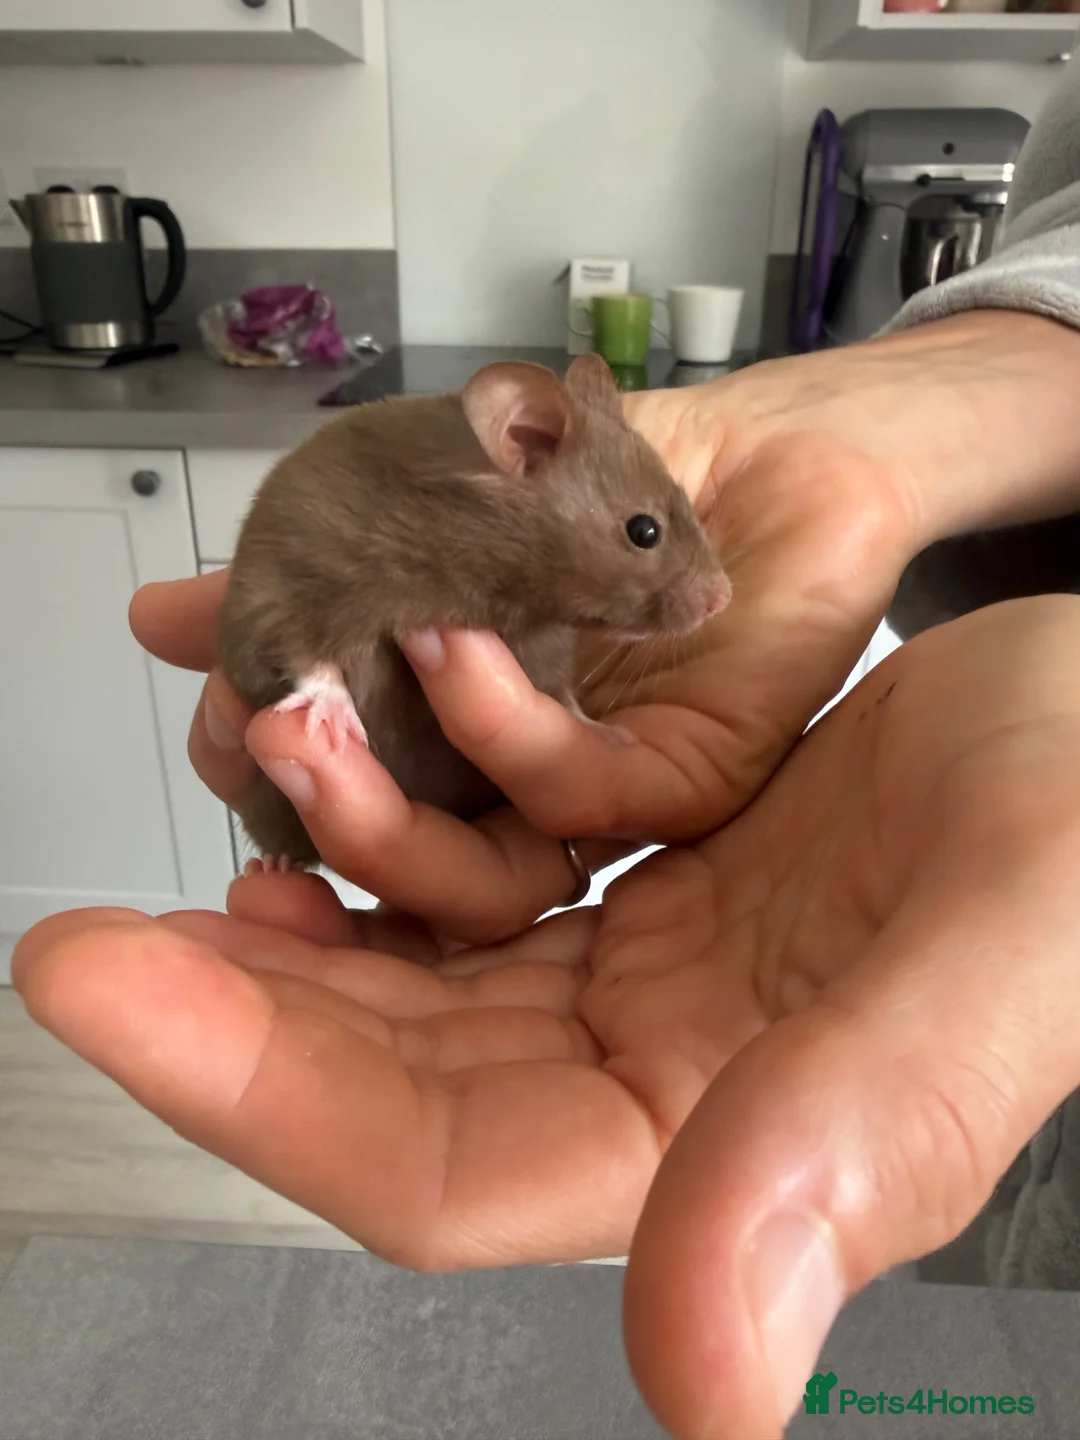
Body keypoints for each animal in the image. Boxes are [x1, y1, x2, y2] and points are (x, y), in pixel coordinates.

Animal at [218, 353, 731, 866]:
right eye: (644, 530)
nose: (722, 599)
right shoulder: (303, 578)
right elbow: (302, 650)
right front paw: (331, 719)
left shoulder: (542, 647)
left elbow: (562, 698)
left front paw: (608, 735)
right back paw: (277, 865)